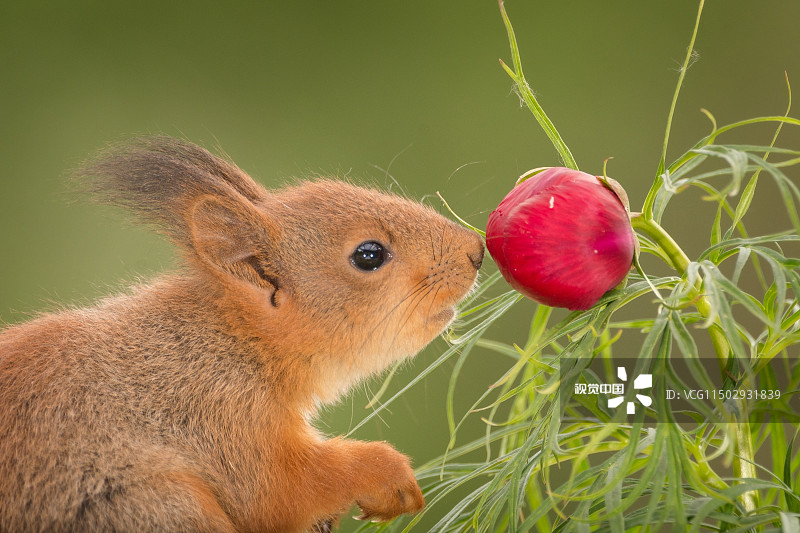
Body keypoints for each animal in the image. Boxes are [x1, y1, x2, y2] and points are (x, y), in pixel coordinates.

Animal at [0, 137, 488, 532]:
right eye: (369, 255)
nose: (477, 250)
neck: (232, 340)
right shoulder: (216, 413)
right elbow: (279, 491)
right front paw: (387, 474)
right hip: (152, 505)